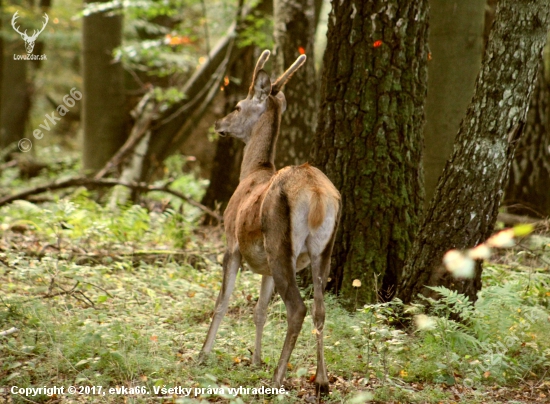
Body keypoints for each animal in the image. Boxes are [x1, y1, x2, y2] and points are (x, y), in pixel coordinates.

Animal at [201, 49, 340, 396]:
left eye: (238, 106)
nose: (219, 123)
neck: (253, 172)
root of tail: (317, 196)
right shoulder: (262, 264)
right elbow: (260, 310)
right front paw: (255, 360)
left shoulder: (232, 243)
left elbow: (222, 301)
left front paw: (203, 354)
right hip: (324, 249)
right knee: (319, 308)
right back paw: (321, 380)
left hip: (280, 243)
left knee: (297, 308)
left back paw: (278, 378)